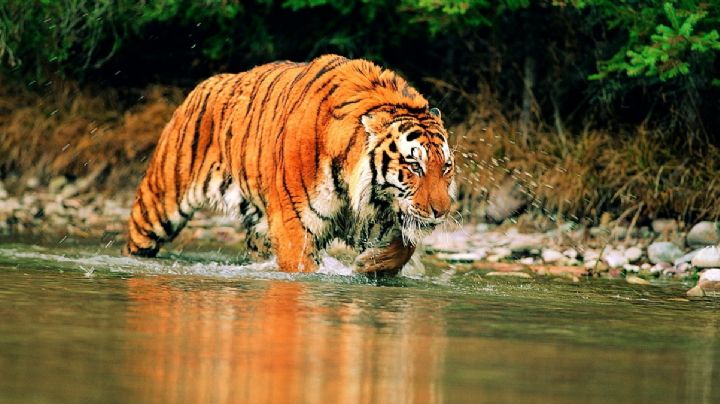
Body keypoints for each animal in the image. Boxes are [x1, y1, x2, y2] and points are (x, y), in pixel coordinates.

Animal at [122, 54, 456, 275]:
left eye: (446, 168)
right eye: (414, 166)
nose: (442, 212)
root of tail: (206, 83)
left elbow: (405, 245)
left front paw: (371, 264)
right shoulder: (294, 225)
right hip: (158, 205)